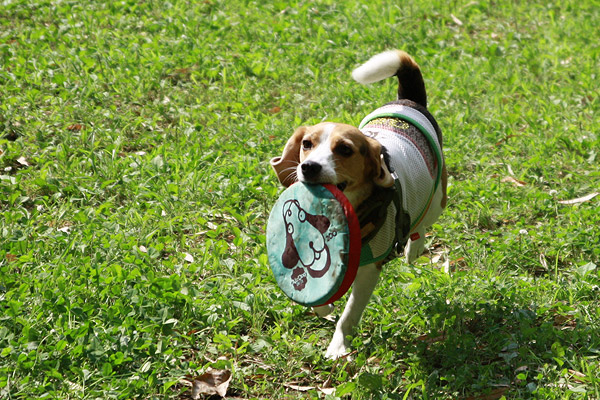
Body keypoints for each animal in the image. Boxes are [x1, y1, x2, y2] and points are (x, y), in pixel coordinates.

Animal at [270, 50, 446, 360]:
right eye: (306, 144)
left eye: (344, 149)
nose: (308, 167)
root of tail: (409, 102)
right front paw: (322, 306)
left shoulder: (368, 269)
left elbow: (349, 313)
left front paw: (338, 346)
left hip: (437, 199)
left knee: (423, 222)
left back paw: (413, 248)